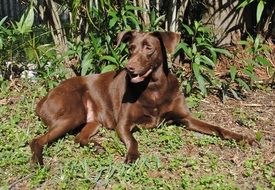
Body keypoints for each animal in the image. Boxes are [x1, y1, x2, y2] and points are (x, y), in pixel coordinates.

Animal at [30, 30, 256, 165]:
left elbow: (217, 128)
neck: (154, 87)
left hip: (93, 122)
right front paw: (132, 155)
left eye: (149, 48)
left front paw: (242, 137)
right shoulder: (123, 124)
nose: (129, 68)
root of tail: (44, 98)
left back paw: (98, 147)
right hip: (72, 114)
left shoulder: (186, 118)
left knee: (78, 138)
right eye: (131, 48)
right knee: (37, 140)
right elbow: (133, 140)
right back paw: (38, 161)